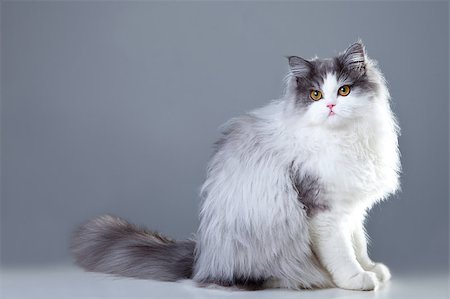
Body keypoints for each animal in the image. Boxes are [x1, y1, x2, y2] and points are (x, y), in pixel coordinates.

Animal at [72, 41, 400, 292]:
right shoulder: (323, 212)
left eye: (344, 91)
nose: (330, 106)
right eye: (315, 95)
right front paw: (356, 279)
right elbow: (342, 253)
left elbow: (358, 243)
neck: (345, 139)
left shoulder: (351, 209)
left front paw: (372, 269)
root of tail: (201, 260)